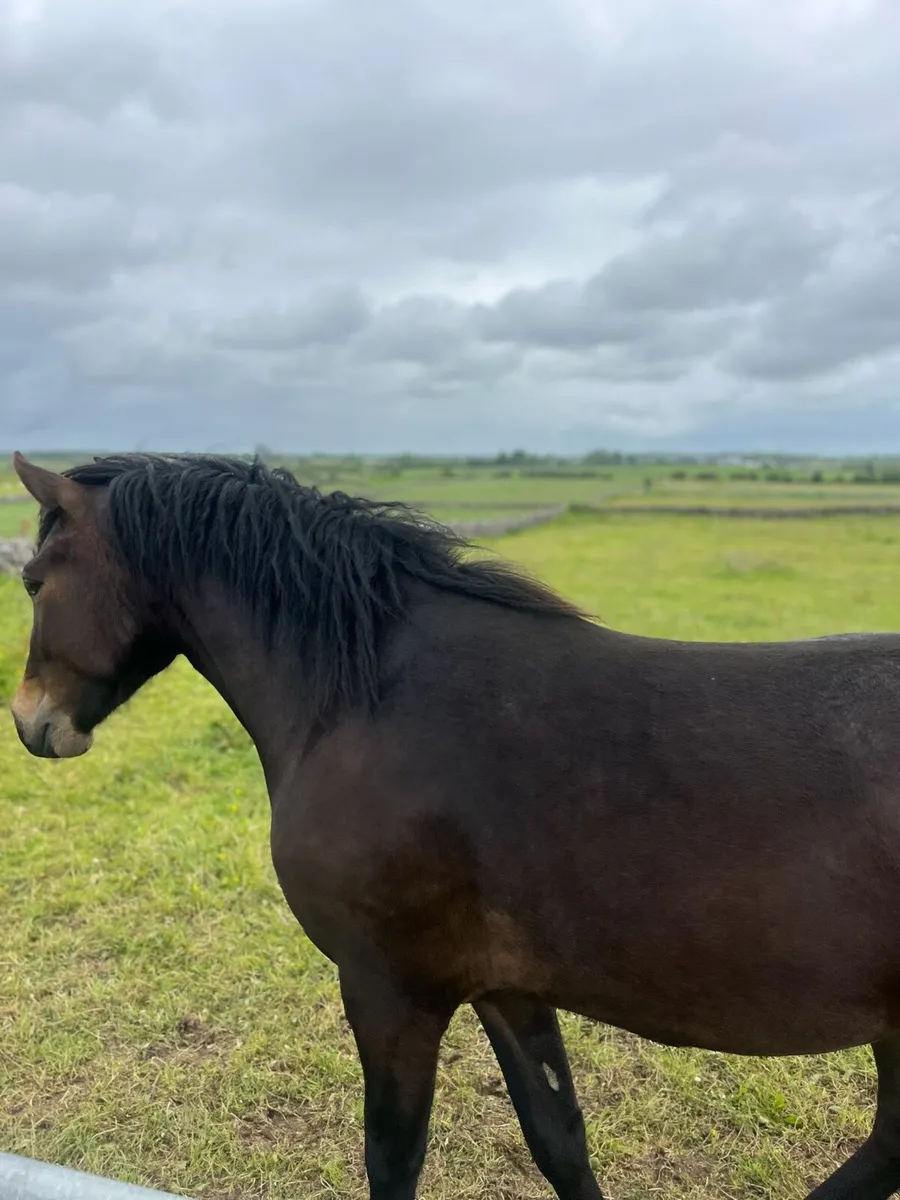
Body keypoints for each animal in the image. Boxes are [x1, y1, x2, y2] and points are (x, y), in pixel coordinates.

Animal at [10, 449, 900, 1200]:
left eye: (34, 582)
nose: (29, 721)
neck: (368, 697)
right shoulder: (509, 987)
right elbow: (559, 1139)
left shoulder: (390, 989)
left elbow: (393, 1156)